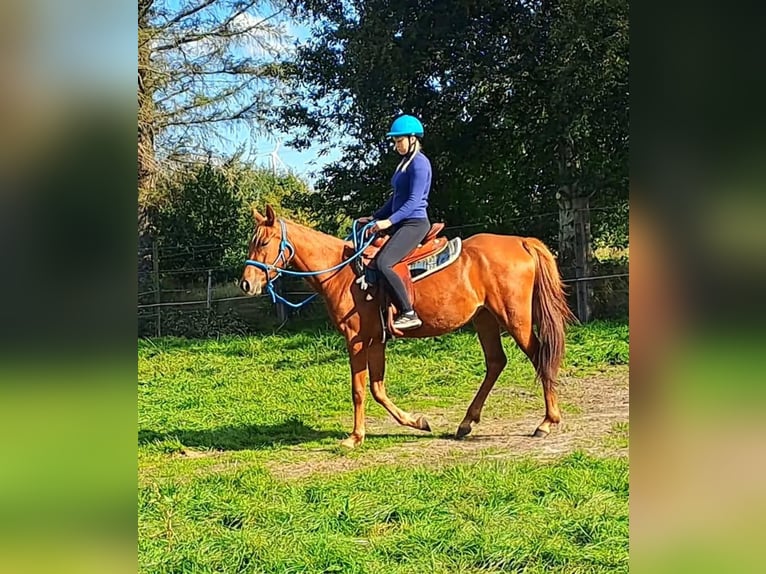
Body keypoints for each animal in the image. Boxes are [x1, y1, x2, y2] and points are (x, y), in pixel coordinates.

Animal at [240, 205, 576, 449]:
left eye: (264, 242)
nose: (246, 283)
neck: (346, 274)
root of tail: (521, 242)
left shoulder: (356, 340)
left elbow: (358, 390)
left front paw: (354, 437)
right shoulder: (376, 340)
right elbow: (377, 389)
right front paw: (417, 422)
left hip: (515, 318)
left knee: (539, 357)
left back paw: (547, 422)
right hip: (485, 319)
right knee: (496, 362)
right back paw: (466, 423)